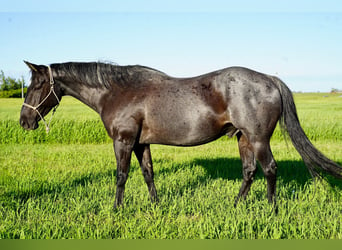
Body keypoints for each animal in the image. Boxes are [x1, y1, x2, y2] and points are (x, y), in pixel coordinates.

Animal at [19, 61, 342, 209]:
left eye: (38, 85)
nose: (24, 121)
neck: (117, 92)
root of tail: (270, 79)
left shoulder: (123, 141)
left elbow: (121, 176)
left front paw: (116, 208)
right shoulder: (141, 144)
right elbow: (148, 173)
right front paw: (155, 205)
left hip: (259, 139)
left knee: (270, 169)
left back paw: (271, 208)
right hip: (244, 138)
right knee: (249, 171)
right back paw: (236, 205)